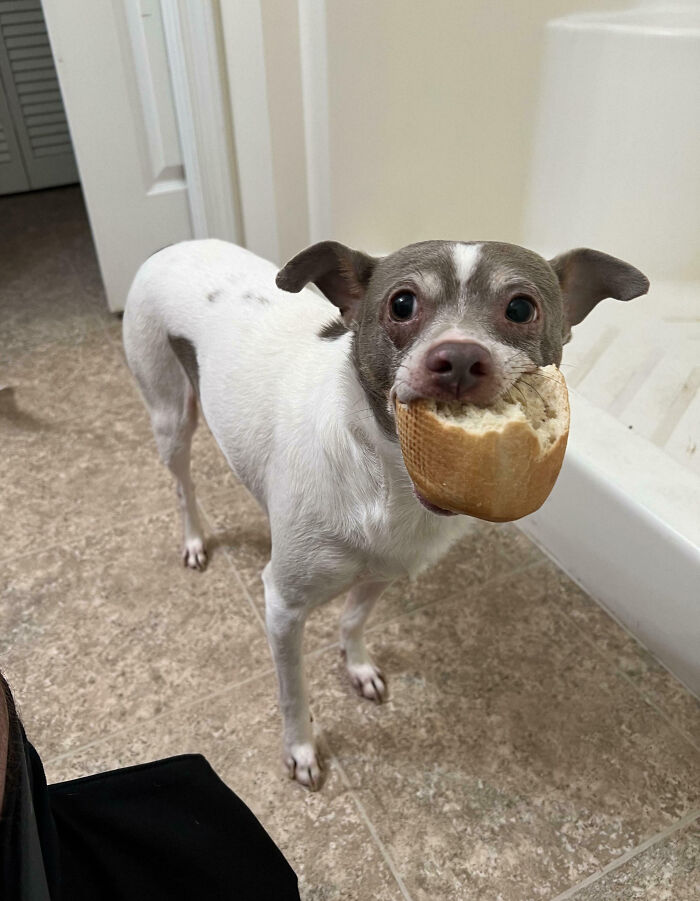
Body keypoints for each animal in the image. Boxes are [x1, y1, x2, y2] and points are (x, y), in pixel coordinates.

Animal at [121, 239, 652, 788]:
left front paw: (356, 666)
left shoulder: (385, 571)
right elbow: (293, 692)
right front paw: (301, 748)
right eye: (402, 304)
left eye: (521, 309)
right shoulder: (283, 607)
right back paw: (194, 539)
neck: (385, 480)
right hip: (170, 416)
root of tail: (179, 244)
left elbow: (354, 619)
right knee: (182, 485)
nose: (459, 358)